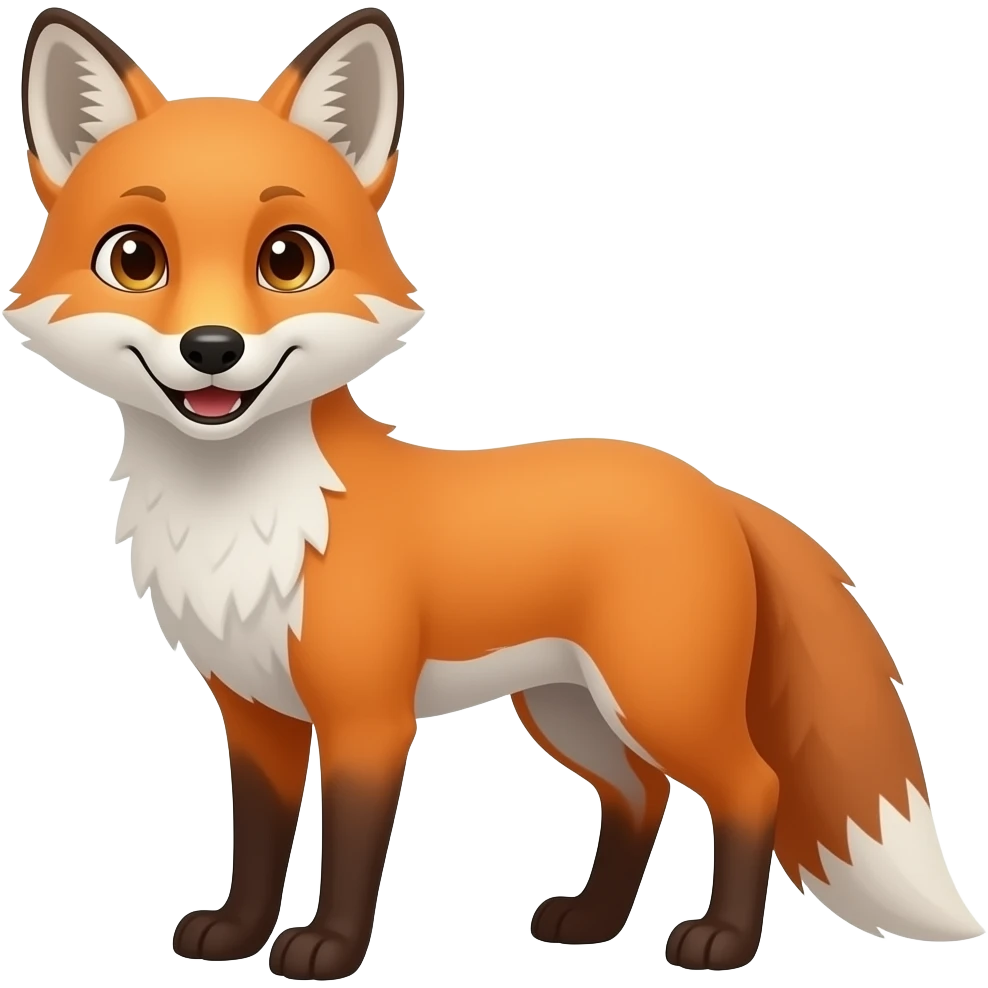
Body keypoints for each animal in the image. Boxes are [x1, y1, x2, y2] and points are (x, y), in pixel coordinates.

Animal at [7, 5, 984, 981]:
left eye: (287, 259)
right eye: (135, 259)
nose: (212, 348)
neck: (246, 517)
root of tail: (711, 487)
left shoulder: (368, 714)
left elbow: (352, 846)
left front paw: (329, 948)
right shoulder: (254, 711)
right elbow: (256, 841)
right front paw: (238, 935)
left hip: (658, 697)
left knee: (751, 787)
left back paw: (722, 941)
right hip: (568, 708)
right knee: (640, 796)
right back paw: (591, 921)